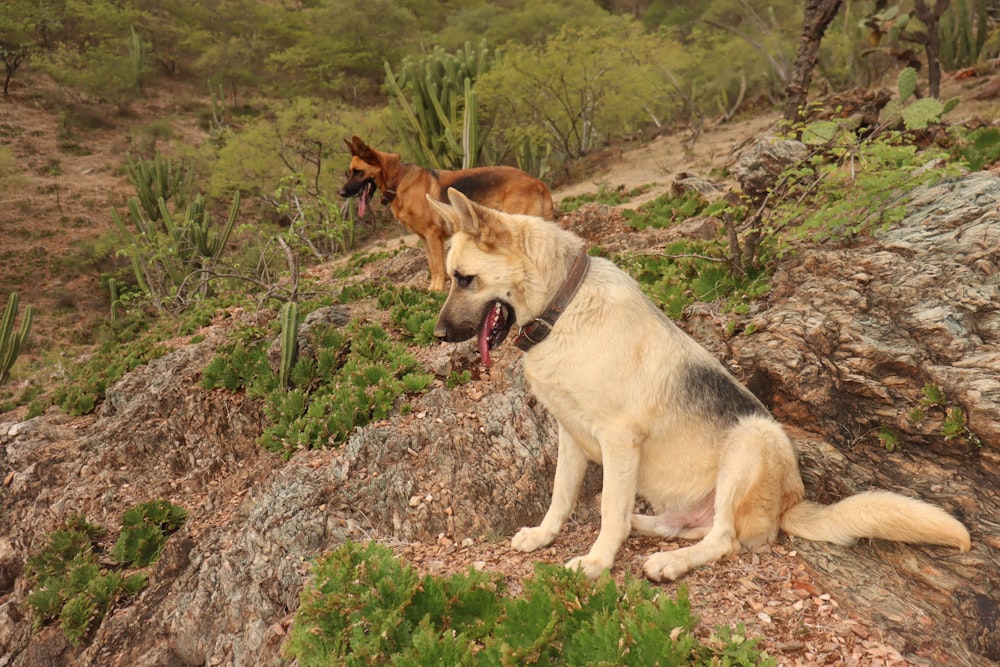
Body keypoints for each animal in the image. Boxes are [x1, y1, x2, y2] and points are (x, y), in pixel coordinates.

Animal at [338, 136, 556, 290]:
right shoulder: (424, 238)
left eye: (357, 172)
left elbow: (439, 267)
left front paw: (438, 291)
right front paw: (432, 290)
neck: (398, 181)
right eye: (350, 171)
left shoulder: (433, 236)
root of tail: (539, 182)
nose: (341, 193)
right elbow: (433, 266)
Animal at [428, 187, 968, 580]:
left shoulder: (618, 440)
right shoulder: (571, 435)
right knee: (678, 525)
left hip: (751, 442)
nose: (438, 336)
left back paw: (668, 562)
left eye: (465, 279)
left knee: (722, 538)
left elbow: (608, 510)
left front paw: (598, 561)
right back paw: (646, 528)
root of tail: (792, 501)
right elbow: (563, 496)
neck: (564, 307)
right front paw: (545, 534)